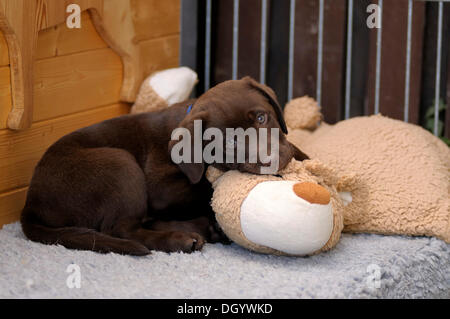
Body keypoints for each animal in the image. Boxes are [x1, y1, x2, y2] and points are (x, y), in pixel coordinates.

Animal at [21, 76, 310, 256]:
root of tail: (31, 203)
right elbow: (205, 186)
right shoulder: (160, 189)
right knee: (122, 228)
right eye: (229, 142)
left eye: (262, 118)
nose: (270, 160)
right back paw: (182, 238)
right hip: (120, 164)